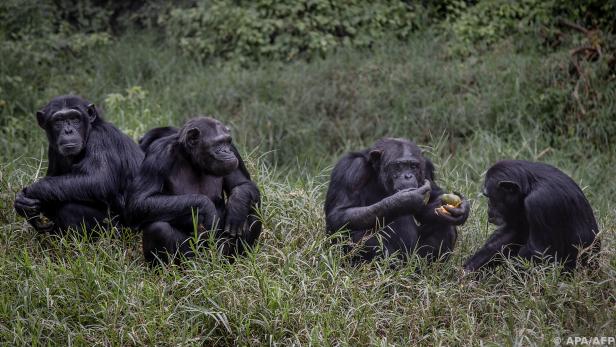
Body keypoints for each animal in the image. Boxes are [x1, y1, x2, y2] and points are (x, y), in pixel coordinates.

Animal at [14, 95, 146, 234]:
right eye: (58, 121)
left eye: (74, 119)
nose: (68, 131)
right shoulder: (53, 150)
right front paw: (22, 204)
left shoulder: (101, 138)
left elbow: (98, 179)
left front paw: (30, 192)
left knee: (69, 208)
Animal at [127, 116, 262, 264]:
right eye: (218, 143)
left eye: (227, 142)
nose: (227, 151)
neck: (191, 159)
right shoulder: (158, 153)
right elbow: (141, 201)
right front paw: (207, 207)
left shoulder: (235, 152)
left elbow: (242, 184)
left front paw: (236, 207)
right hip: (193, 256)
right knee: (158, 228)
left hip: (220, 252)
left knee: (253, 212)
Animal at [324, 137, 470, 262]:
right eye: (398, 166)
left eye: (413, 166)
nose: (408, 176)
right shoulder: (351, 169)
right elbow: (339, 214)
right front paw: (405, 200)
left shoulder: (427, 167)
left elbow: (432, 199)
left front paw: (462, 209)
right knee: (359, 235)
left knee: (445, 224)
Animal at [464, 160, 600, 272]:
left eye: (489, 197)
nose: (488, 207)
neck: (529, 186)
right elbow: (512, 233)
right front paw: (469, 270)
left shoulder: (539, 202)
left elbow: (538, 251)